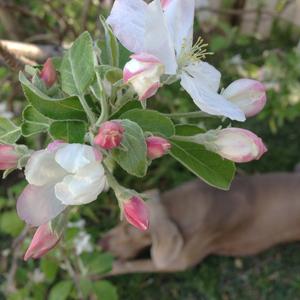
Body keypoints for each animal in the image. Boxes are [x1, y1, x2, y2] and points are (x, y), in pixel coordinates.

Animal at [100, 172, 300, 276]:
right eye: (121, 220)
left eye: (130, 229)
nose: (100, 243)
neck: (176, 207)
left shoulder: (177, 262)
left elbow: (133, 265)